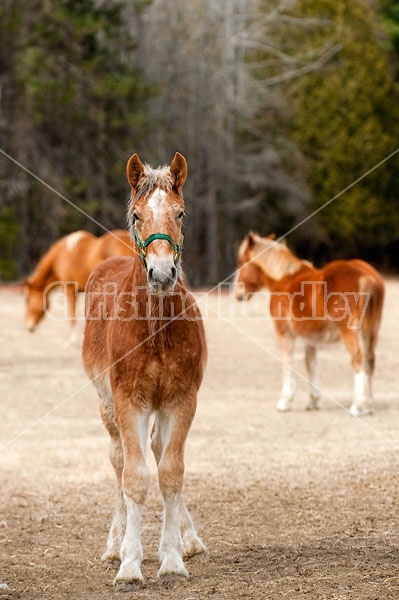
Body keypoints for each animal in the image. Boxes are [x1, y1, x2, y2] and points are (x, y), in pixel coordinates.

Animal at [81, 154, 206, 592]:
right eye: (137, 215)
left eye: (181, 212)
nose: (163, 273)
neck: (155, 330)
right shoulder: (127, 402)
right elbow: (134, 478)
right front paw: (130, 565)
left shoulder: (181, 400)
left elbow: (170, 473)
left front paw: (172, 559)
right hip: (105, 406)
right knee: (119, 460)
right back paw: (115, 544)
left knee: (156, 450)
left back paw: (189, 539)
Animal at [236, 232, 386, 414]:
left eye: (242, 262)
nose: (238, 294)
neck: (284, 279)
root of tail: (367, 276)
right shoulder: (310, 337)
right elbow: (311, 364)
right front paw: (313, 401)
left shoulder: (284, 333)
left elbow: (288, 362)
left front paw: (284, 401)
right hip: (371, 331)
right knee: (370, 360)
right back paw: (369, 405)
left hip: (351, 332)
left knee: (358, 359)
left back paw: (357, 406)